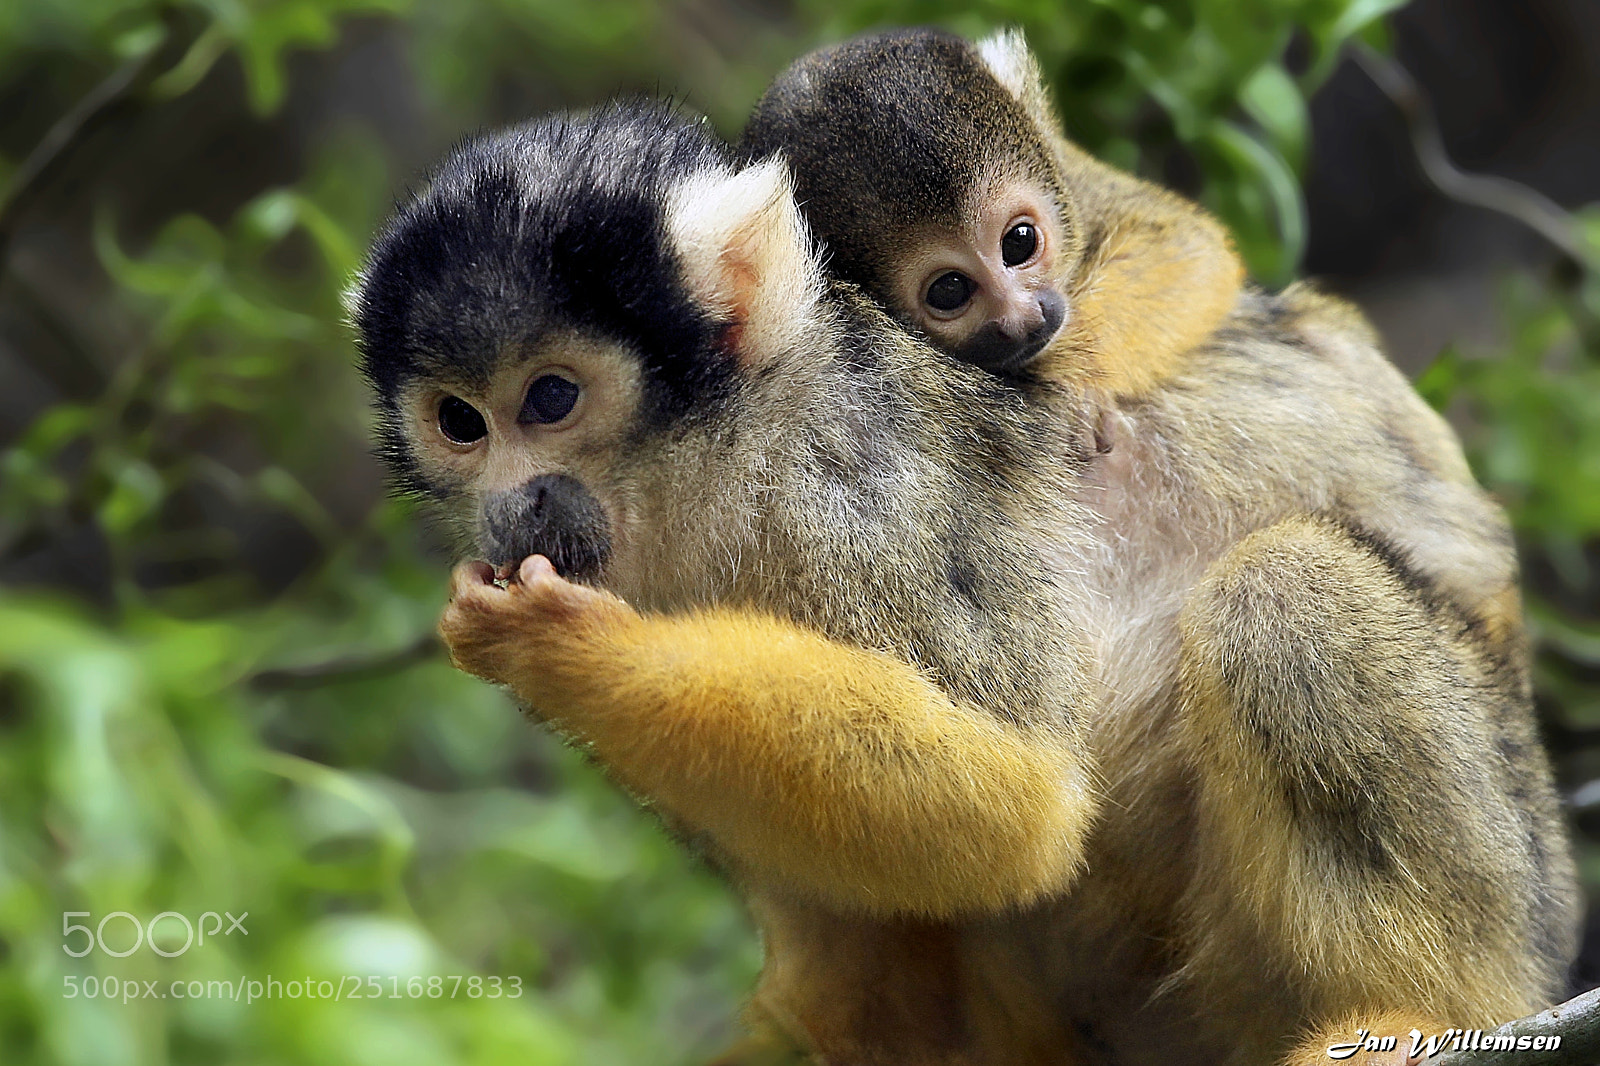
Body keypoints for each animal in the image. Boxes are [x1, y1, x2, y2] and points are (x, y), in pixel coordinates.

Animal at [348, 86, 1578, 1066]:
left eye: (549, 400)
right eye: (461, 424)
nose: (508, 504)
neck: (715, 460)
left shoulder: (866, 470)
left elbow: (1017, 800)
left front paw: (561, 648)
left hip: (1515, 873)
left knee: (1285, 591)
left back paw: (1402, 1012)